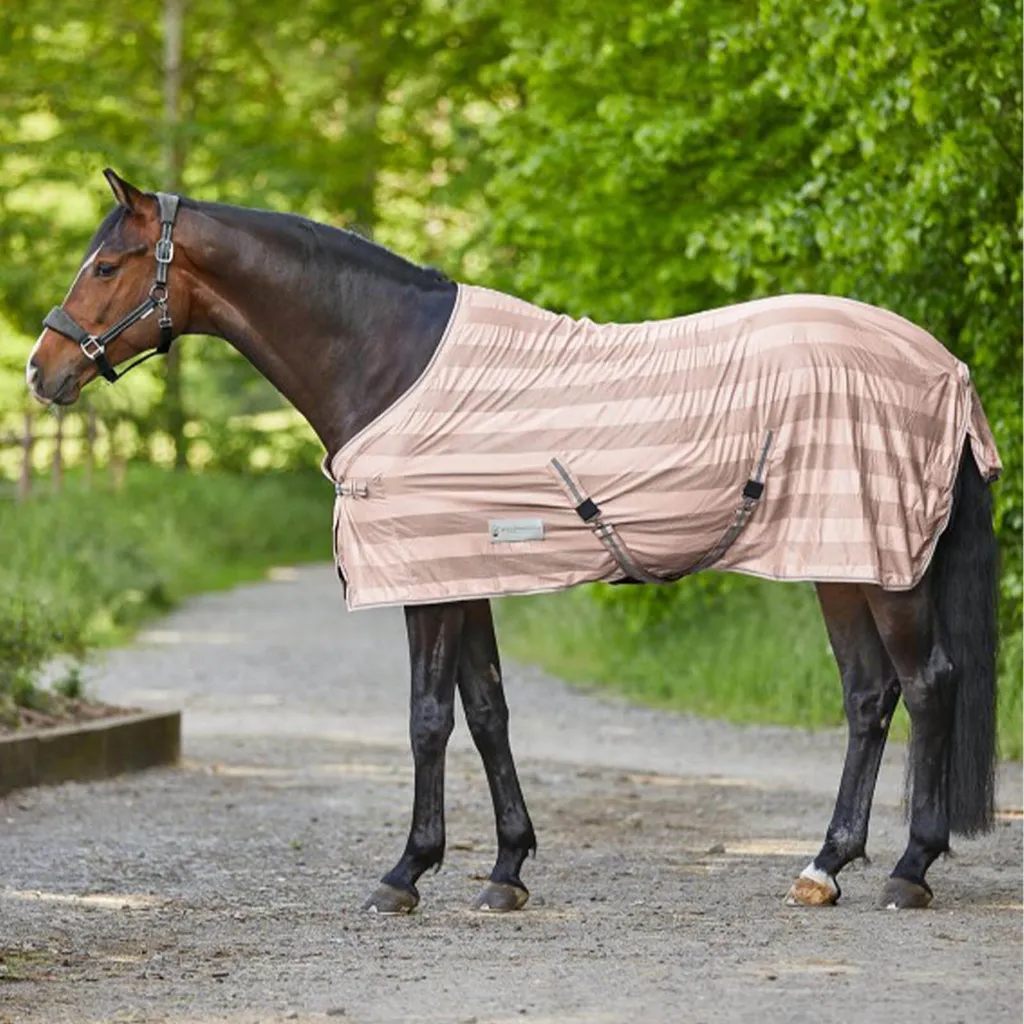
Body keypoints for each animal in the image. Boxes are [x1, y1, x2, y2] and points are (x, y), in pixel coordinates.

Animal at [26, 169, 1001, 914]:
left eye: (105, 264)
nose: (42, 370)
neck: (389, 361)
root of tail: (942, 364)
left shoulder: (426, 580)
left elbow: (427, 719)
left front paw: (405, 875)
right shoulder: (465, 575)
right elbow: (487, 711)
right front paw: (505, 870)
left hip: (885, 567)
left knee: (927, 684)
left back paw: (909, 871)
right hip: (842, 561)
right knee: (869, 697)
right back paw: (824, 868)